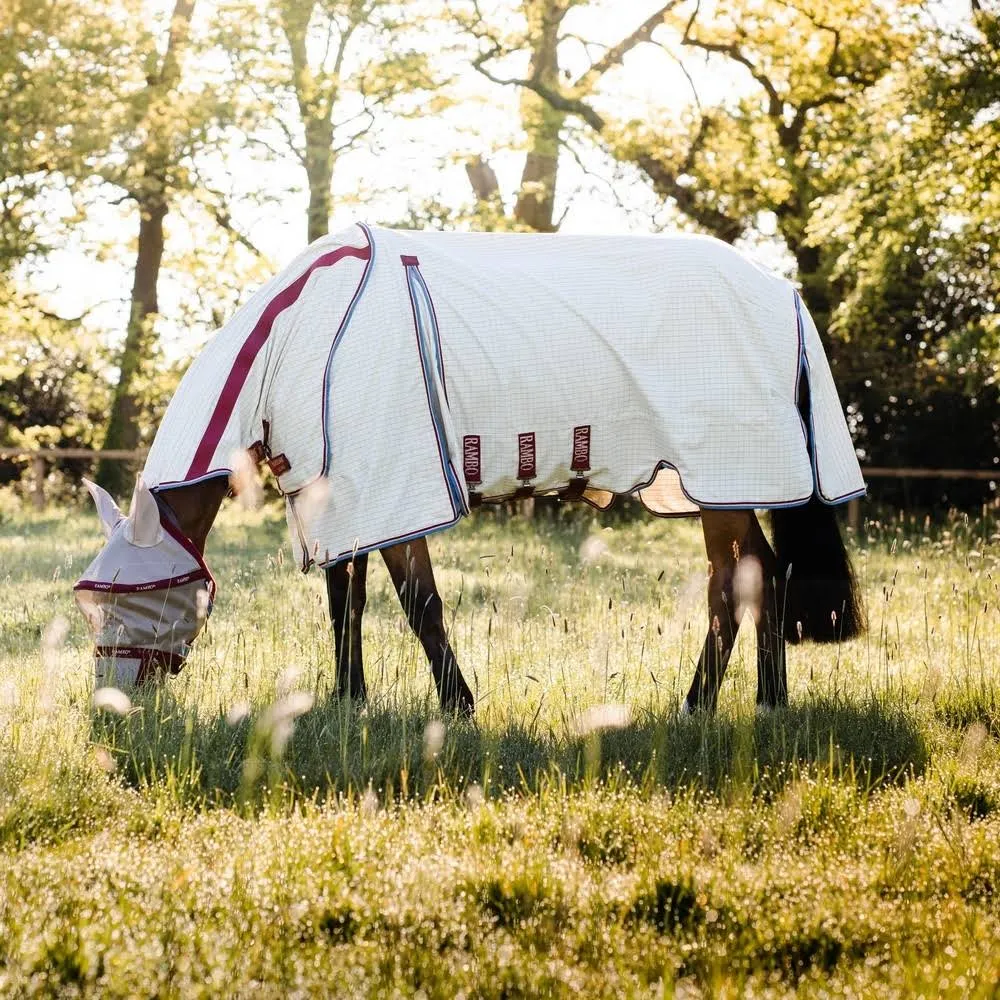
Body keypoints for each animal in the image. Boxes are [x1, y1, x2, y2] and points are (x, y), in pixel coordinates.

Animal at [74, 223, 868, 716]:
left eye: (140, 596)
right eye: (90, 602)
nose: (112, 705)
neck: (304, 335)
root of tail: (783, 293)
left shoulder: (397, 493)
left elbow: (419, 604)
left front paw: (458, 706)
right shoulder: (342, 501)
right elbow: (345, 604)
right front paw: (348, 700)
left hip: (726, 484)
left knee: (734, 587)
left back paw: (702, 706)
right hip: (720, 490)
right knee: (759, 577)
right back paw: (760, 703)